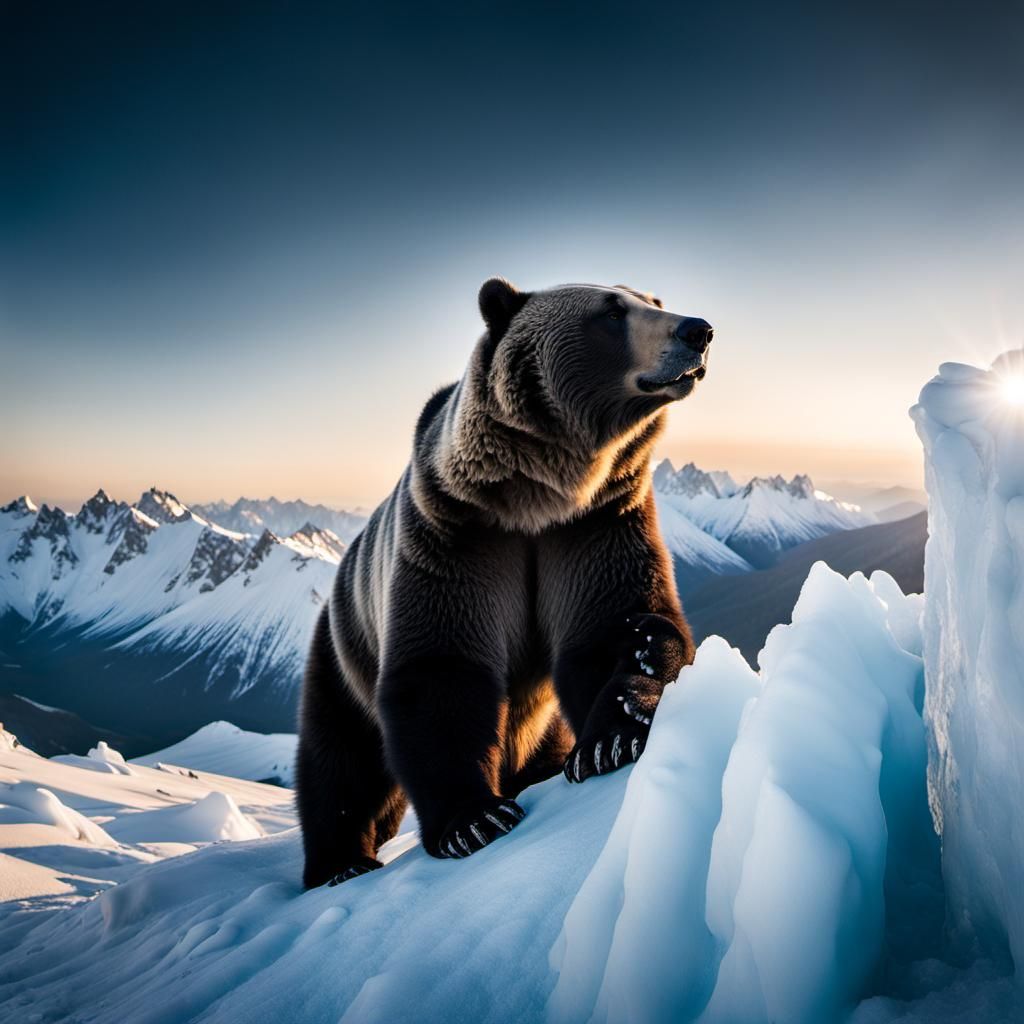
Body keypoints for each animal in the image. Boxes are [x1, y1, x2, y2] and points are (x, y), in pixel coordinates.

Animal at [296, 277, 713, 887]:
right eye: (612, 311)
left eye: (653, 301)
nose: (697, 330)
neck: (539, 494)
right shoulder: (457, 534)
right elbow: (441, 671)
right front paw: (476, 820)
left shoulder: (597, 522)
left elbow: (621, 625)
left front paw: (614, 734)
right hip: (345, 648)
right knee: (340, 760)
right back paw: (342, 861)